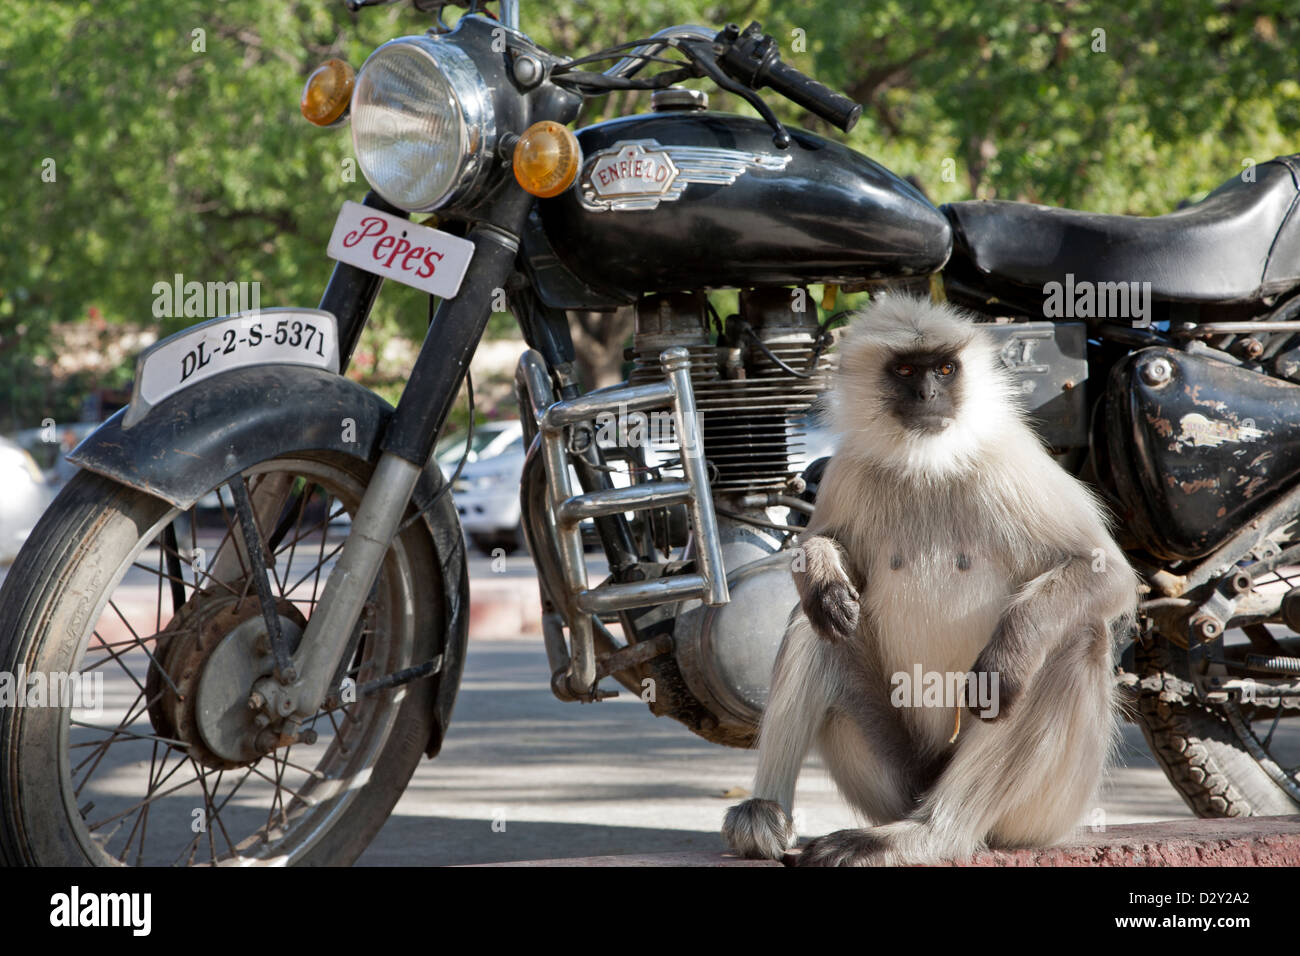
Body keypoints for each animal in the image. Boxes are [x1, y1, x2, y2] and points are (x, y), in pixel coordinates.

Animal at [722, 293, 1138, 868]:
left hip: (1045, 813)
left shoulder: (1011, 461)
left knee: (1076, 637)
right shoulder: (848, 469)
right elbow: (825, 559)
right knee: (816, 624)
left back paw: (927, 835)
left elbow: (1108, 573)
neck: (927, 462)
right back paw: (763, 816)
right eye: (904, 371)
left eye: (944, 369)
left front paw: (1008, 654)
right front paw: (824, 574)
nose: (928, 394)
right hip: (897, 779)